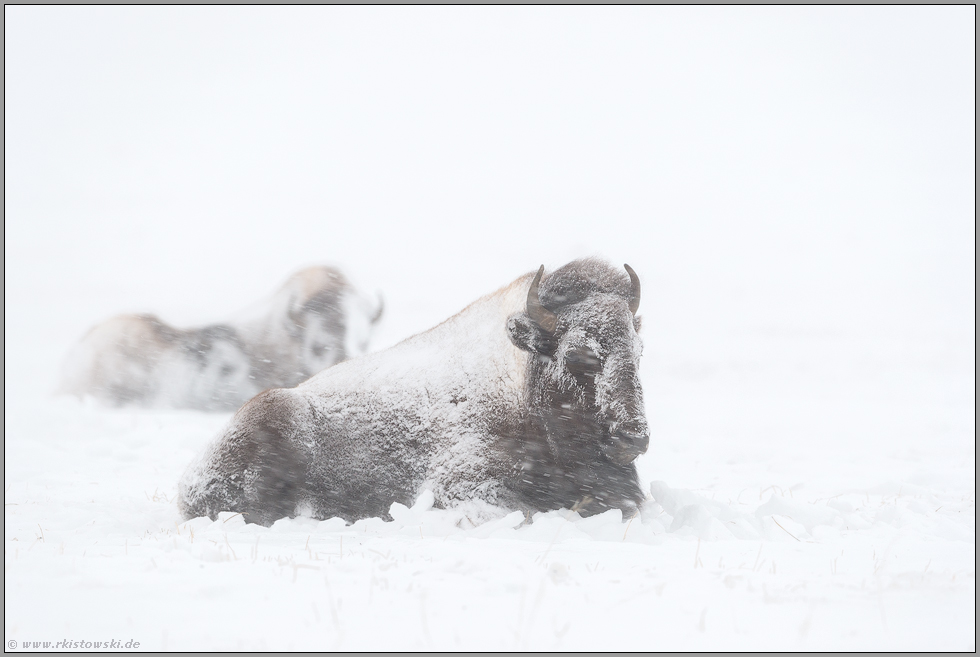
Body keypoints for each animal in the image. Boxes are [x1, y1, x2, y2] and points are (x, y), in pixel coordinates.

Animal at [178, 256, 652, 524]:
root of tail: (188, 484)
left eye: (638, 349)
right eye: (579, 356)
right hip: (276, 413)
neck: (521, 381)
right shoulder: (462, 484)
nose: (633, 437)